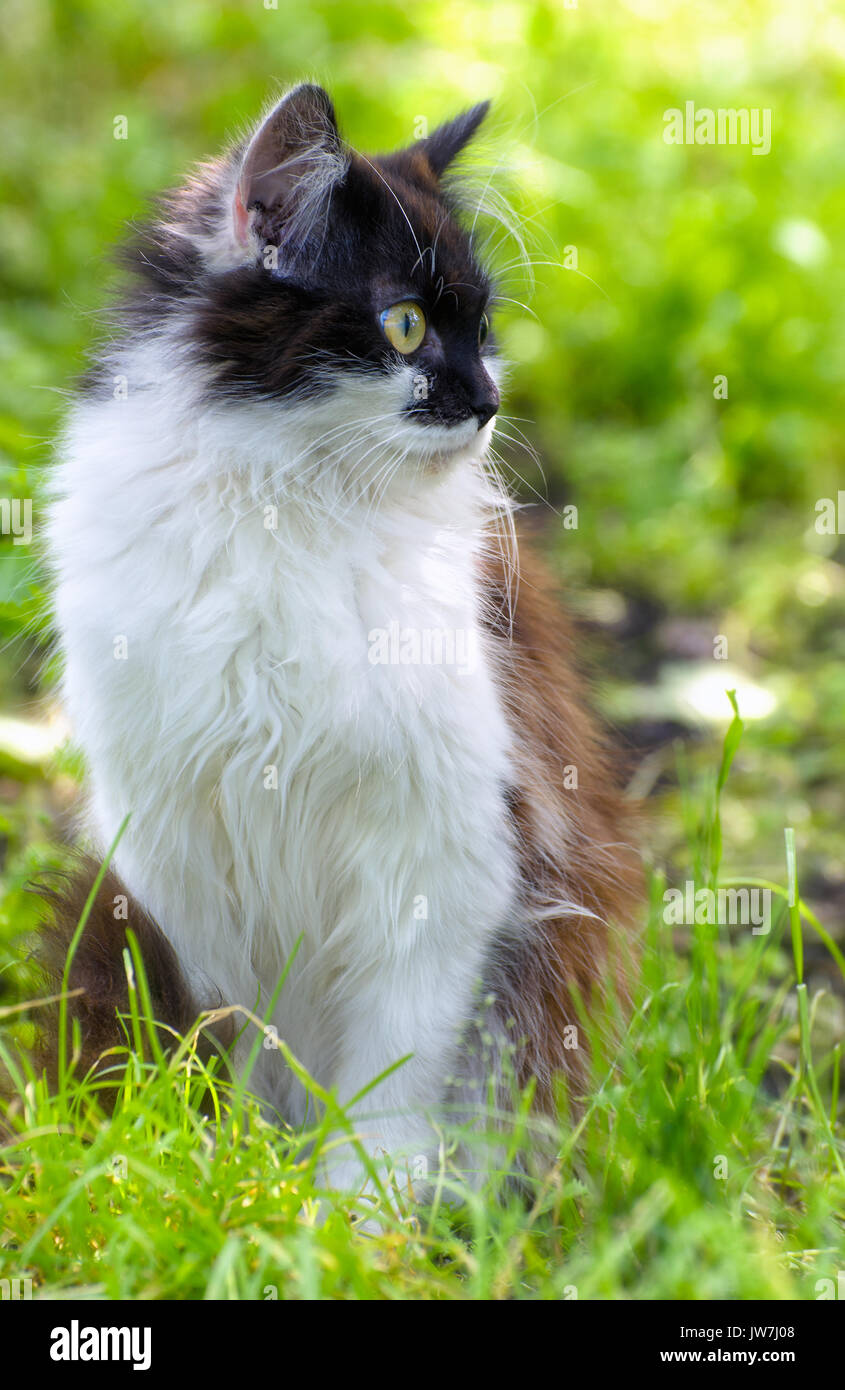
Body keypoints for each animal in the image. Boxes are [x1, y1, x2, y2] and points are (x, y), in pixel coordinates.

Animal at [42, 84, 639, 1195]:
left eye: (482, 329)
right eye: (403, 325)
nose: (488, 402)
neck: (291, 502)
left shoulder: (450, 846)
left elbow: (394, 1074)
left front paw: (354, 1210)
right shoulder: (173, 853)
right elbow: (223, 1031)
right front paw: (223, 1176)